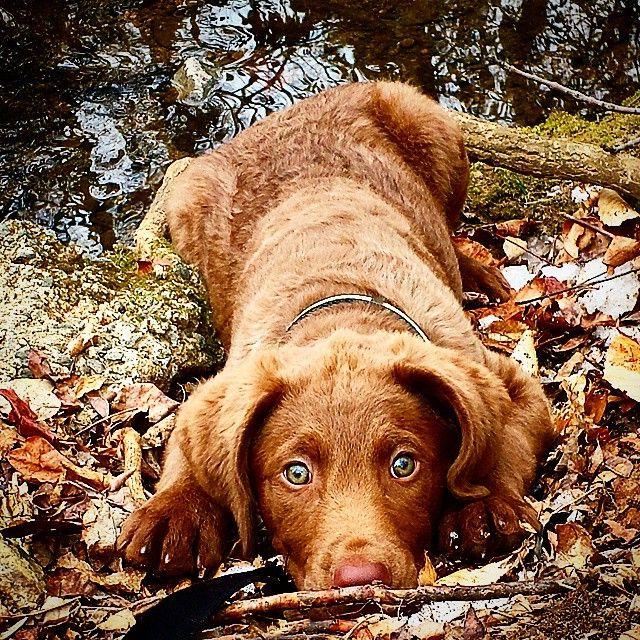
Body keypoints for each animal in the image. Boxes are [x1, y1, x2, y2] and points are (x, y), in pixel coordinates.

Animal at [116, 81, 556, 592]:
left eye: (403, 464)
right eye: (296, 473)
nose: (360, 578)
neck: (341, 303)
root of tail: (286, 111)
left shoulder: (507, 378)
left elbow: (507, 442)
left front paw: (481, 506)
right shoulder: (224, 382)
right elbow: (186, 448)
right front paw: (174, 511)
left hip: (433, 128)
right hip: (184, 206)